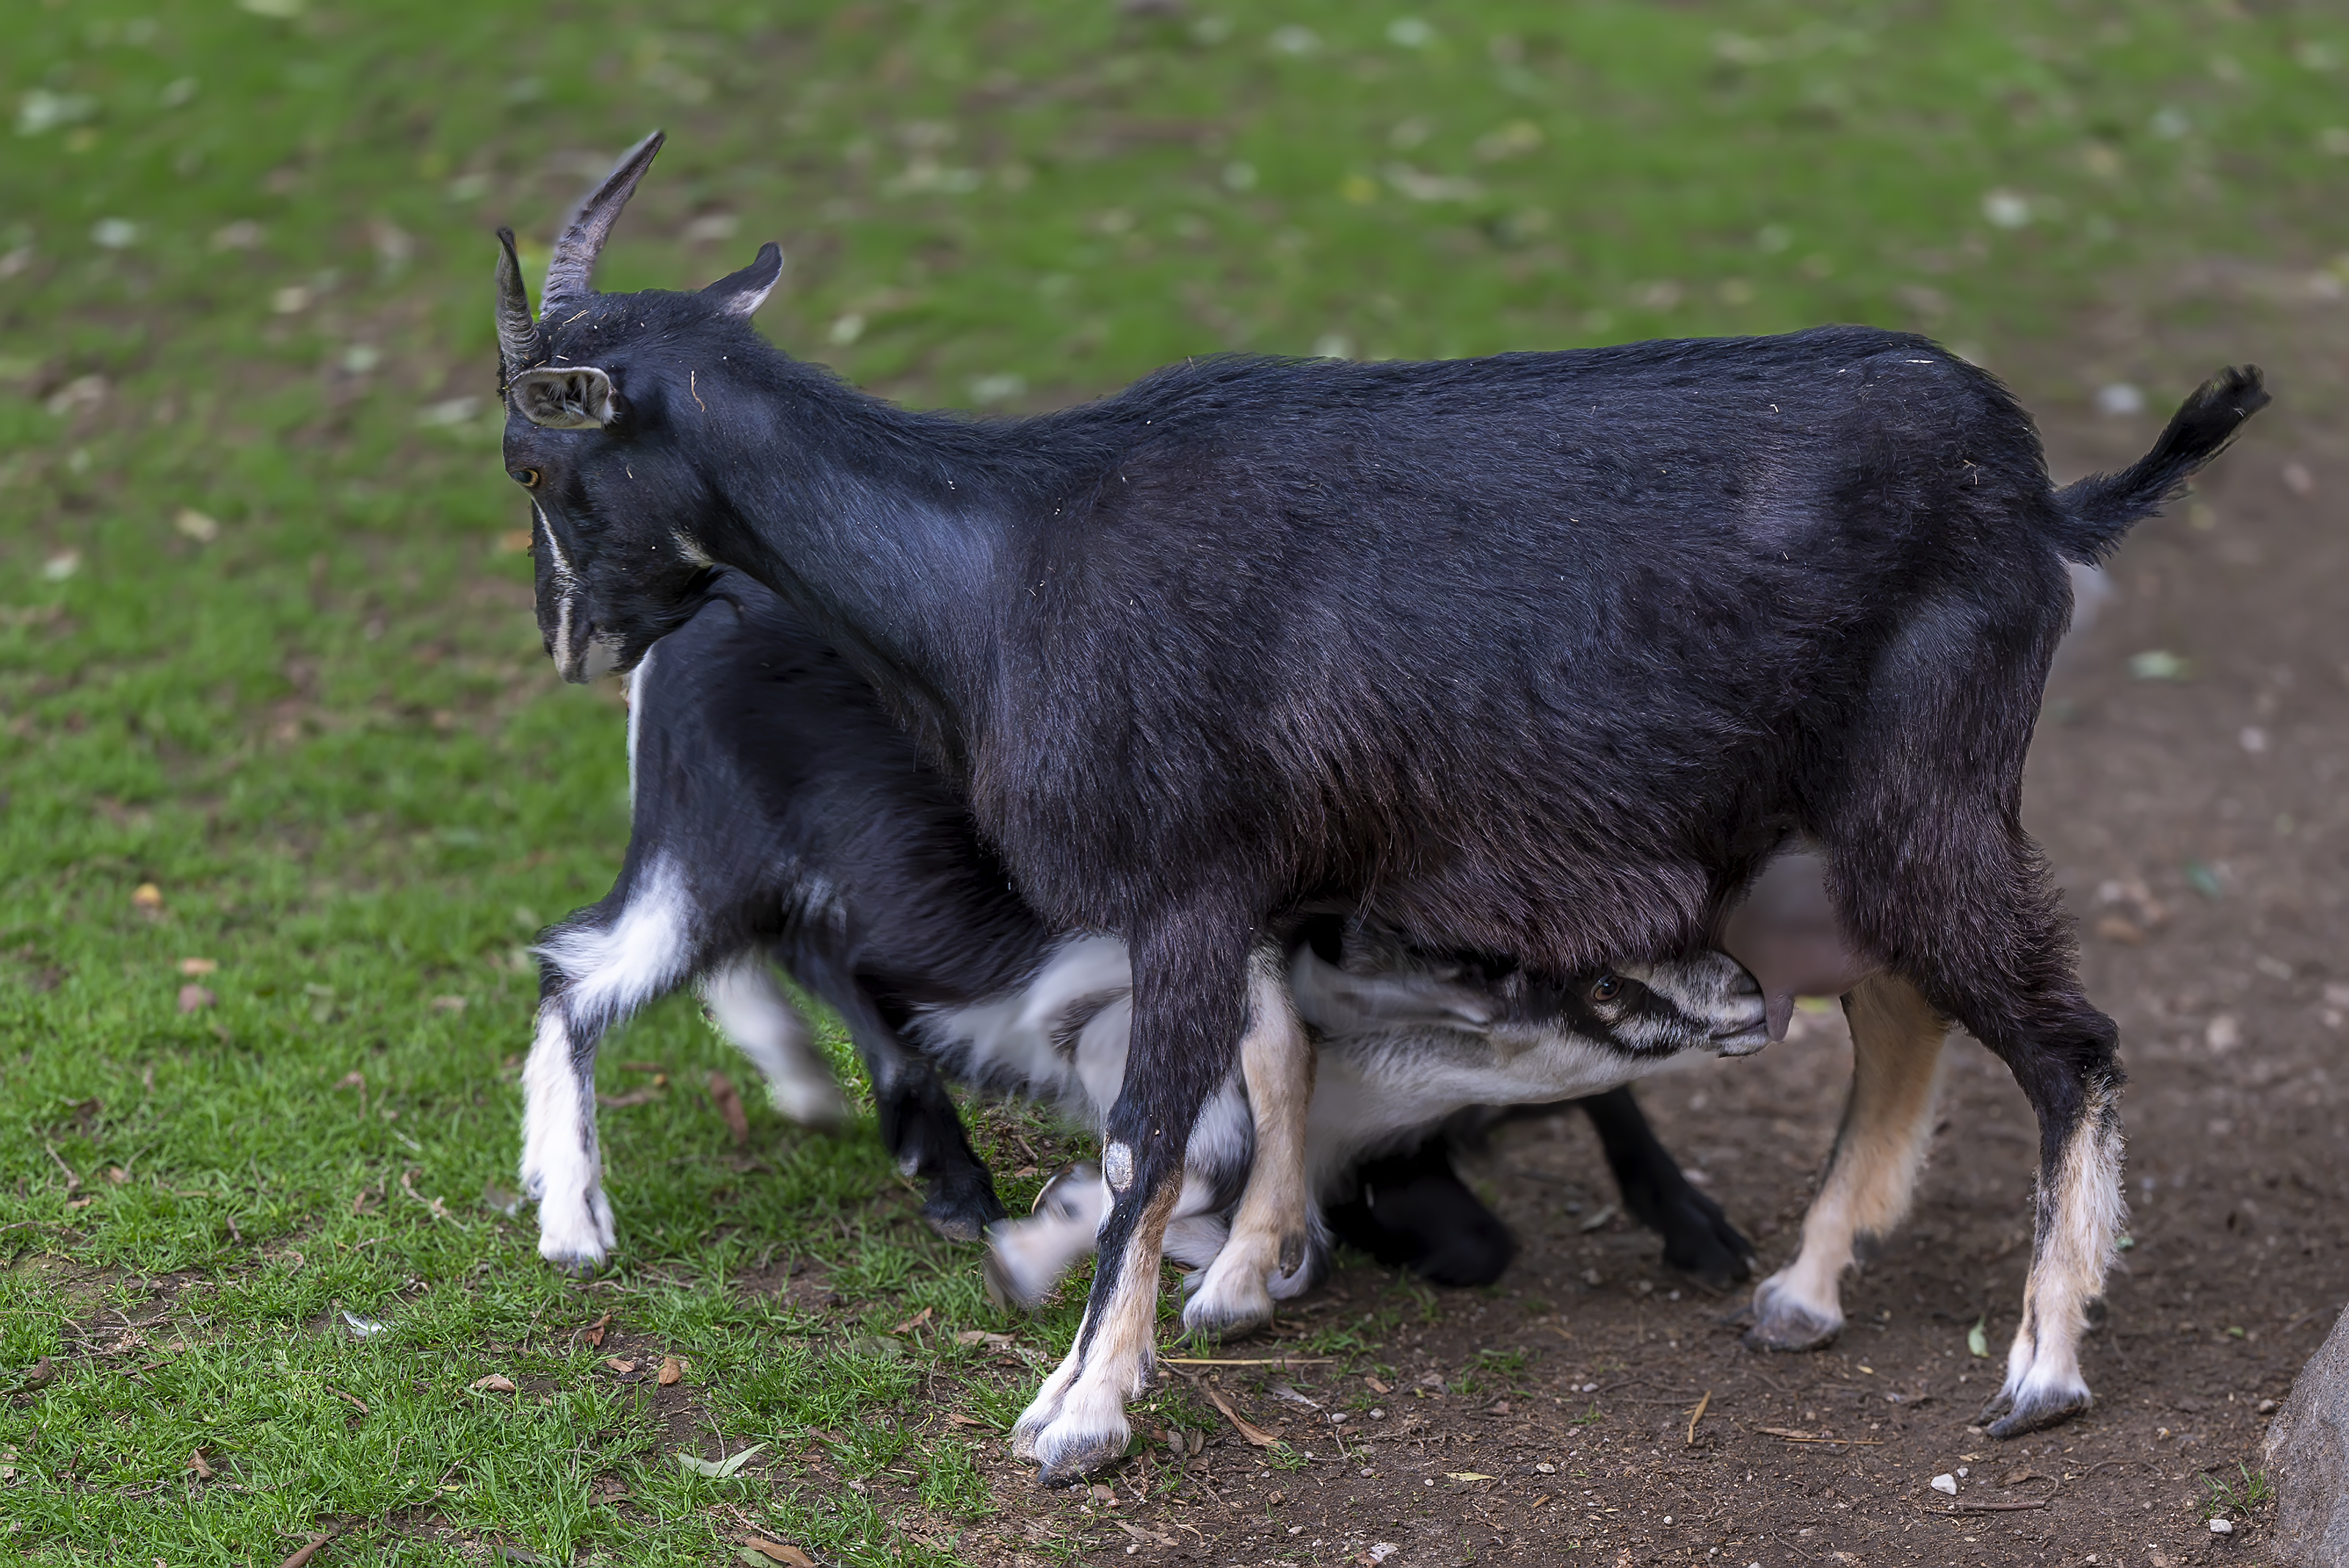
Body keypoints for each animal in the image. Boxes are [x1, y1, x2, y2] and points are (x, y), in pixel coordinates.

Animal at [520, 568, 1769, 1309]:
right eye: (1581, 979)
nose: (1755, 1000)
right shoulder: (1100, 1002)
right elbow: (1200, 1158)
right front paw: (1081, 1244)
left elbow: (1466, 1227)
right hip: (708, 841)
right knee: (578, 970)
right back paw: (577, 1224)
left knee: (803, 957)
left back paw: (887, 1135)